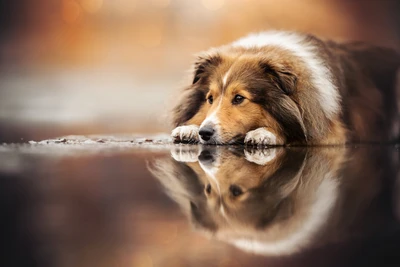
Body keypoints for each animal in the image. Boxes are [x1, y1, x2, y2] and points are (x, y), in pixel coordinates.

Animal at [170, 31, 400, 147]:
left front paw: (264, 133)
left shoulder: (331, 132)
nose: (205, 132)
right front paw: (188, 128)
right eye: (210, 98)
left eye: (239, 98)